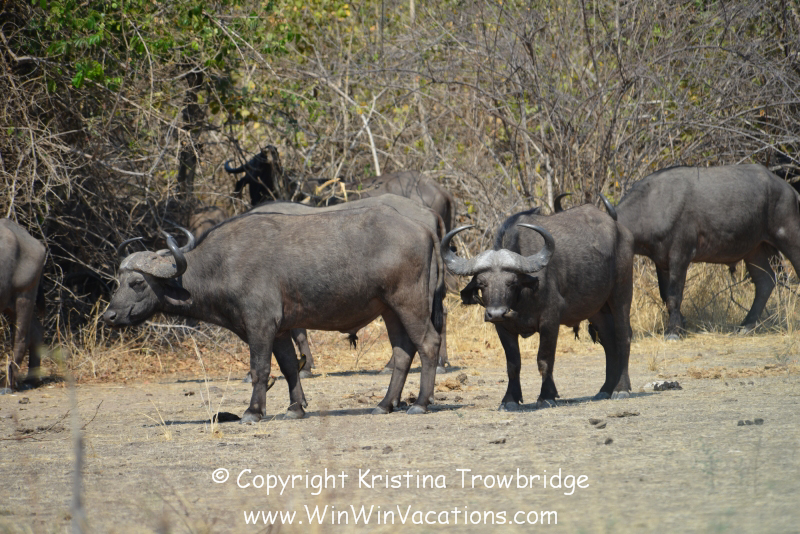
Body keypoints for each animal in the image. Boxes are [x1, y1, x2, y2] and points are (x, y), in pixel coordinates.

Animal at [1, 219, 46, 392]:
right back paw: (31, 380)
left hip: (24, 295)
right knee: (36, 330)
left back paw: (8, 385)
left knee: (21, 338)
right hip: (10, 303)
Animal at [104, 205, 444, 421]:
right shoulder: (280, 330)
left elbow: (260, 369)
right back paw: (384, 404)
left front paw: (253, 411)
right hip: (389, 310)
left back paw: (420, 403)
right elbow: (291, 367)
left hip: (409, 302)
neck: (222, 264)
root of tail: (425, 229)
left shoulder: (260, 325)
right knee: (402, 352)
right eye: (117, 281)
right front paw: (295, 408)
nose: (109, 316)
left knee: (428, 344)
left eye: (137, 283)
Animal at [442, 198, 634, 410]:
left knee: (623, 337)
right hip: (597, 309)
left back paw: (621, 389)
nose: (497, 313)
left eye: (512, 282)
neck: (521, 300)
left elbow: (545, 359)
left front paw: (547, 396)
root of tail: (622, 231)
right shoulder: (503, 328)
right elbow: (513, 364)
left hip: (621, 294)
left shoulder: (550, 322)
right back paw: (606, 389)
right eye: (482, 283)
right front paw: (510, 399)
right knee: (608, 342)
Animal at [615, 164, 800, 339]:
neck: (652, 205)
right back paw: (746, 326)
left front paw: (673, 331)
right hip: (755, 250)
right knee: (765, 281)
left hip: (788, 236)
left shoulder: (680, 256)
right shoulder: (661, 261)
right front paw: (681, 323)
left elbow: (674, 296)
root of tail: (788, 189)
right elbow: (665, 294)